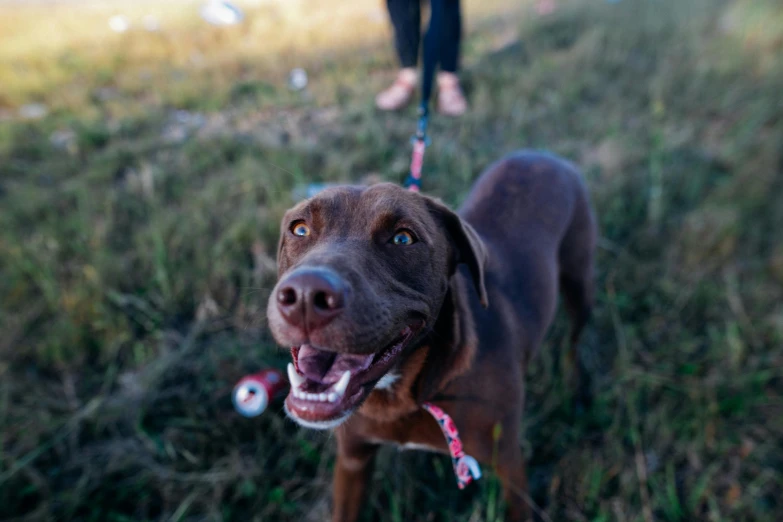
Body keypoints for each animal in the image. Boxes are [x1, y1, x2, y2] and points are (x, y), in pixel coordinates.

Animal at [266, 150, 596, 520]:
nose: (306, 297)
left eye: (403, 238)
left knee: (575, 338)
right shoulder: (353, 460)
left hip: (579, 282)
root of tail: (542, 154)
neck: (402, 394)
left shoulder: (509, 462)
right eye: (300, 229)